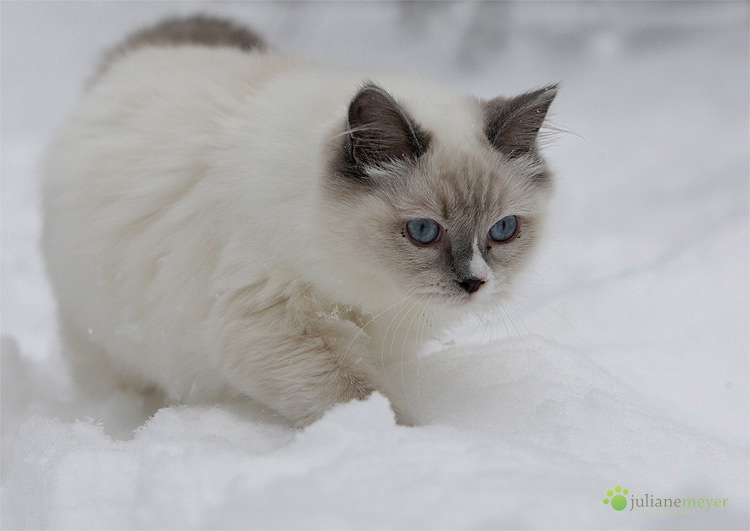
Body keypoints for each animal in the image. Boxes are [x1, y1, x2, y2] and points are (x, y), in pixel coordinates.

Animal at [41, 14, 560, 428]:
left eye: (503, 230)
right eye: (424, 232)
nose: (474, 282)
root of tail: (141, 55)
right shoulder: (274, 327)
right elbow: (366, 399)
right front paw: (405, 440)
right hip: (112, 344)